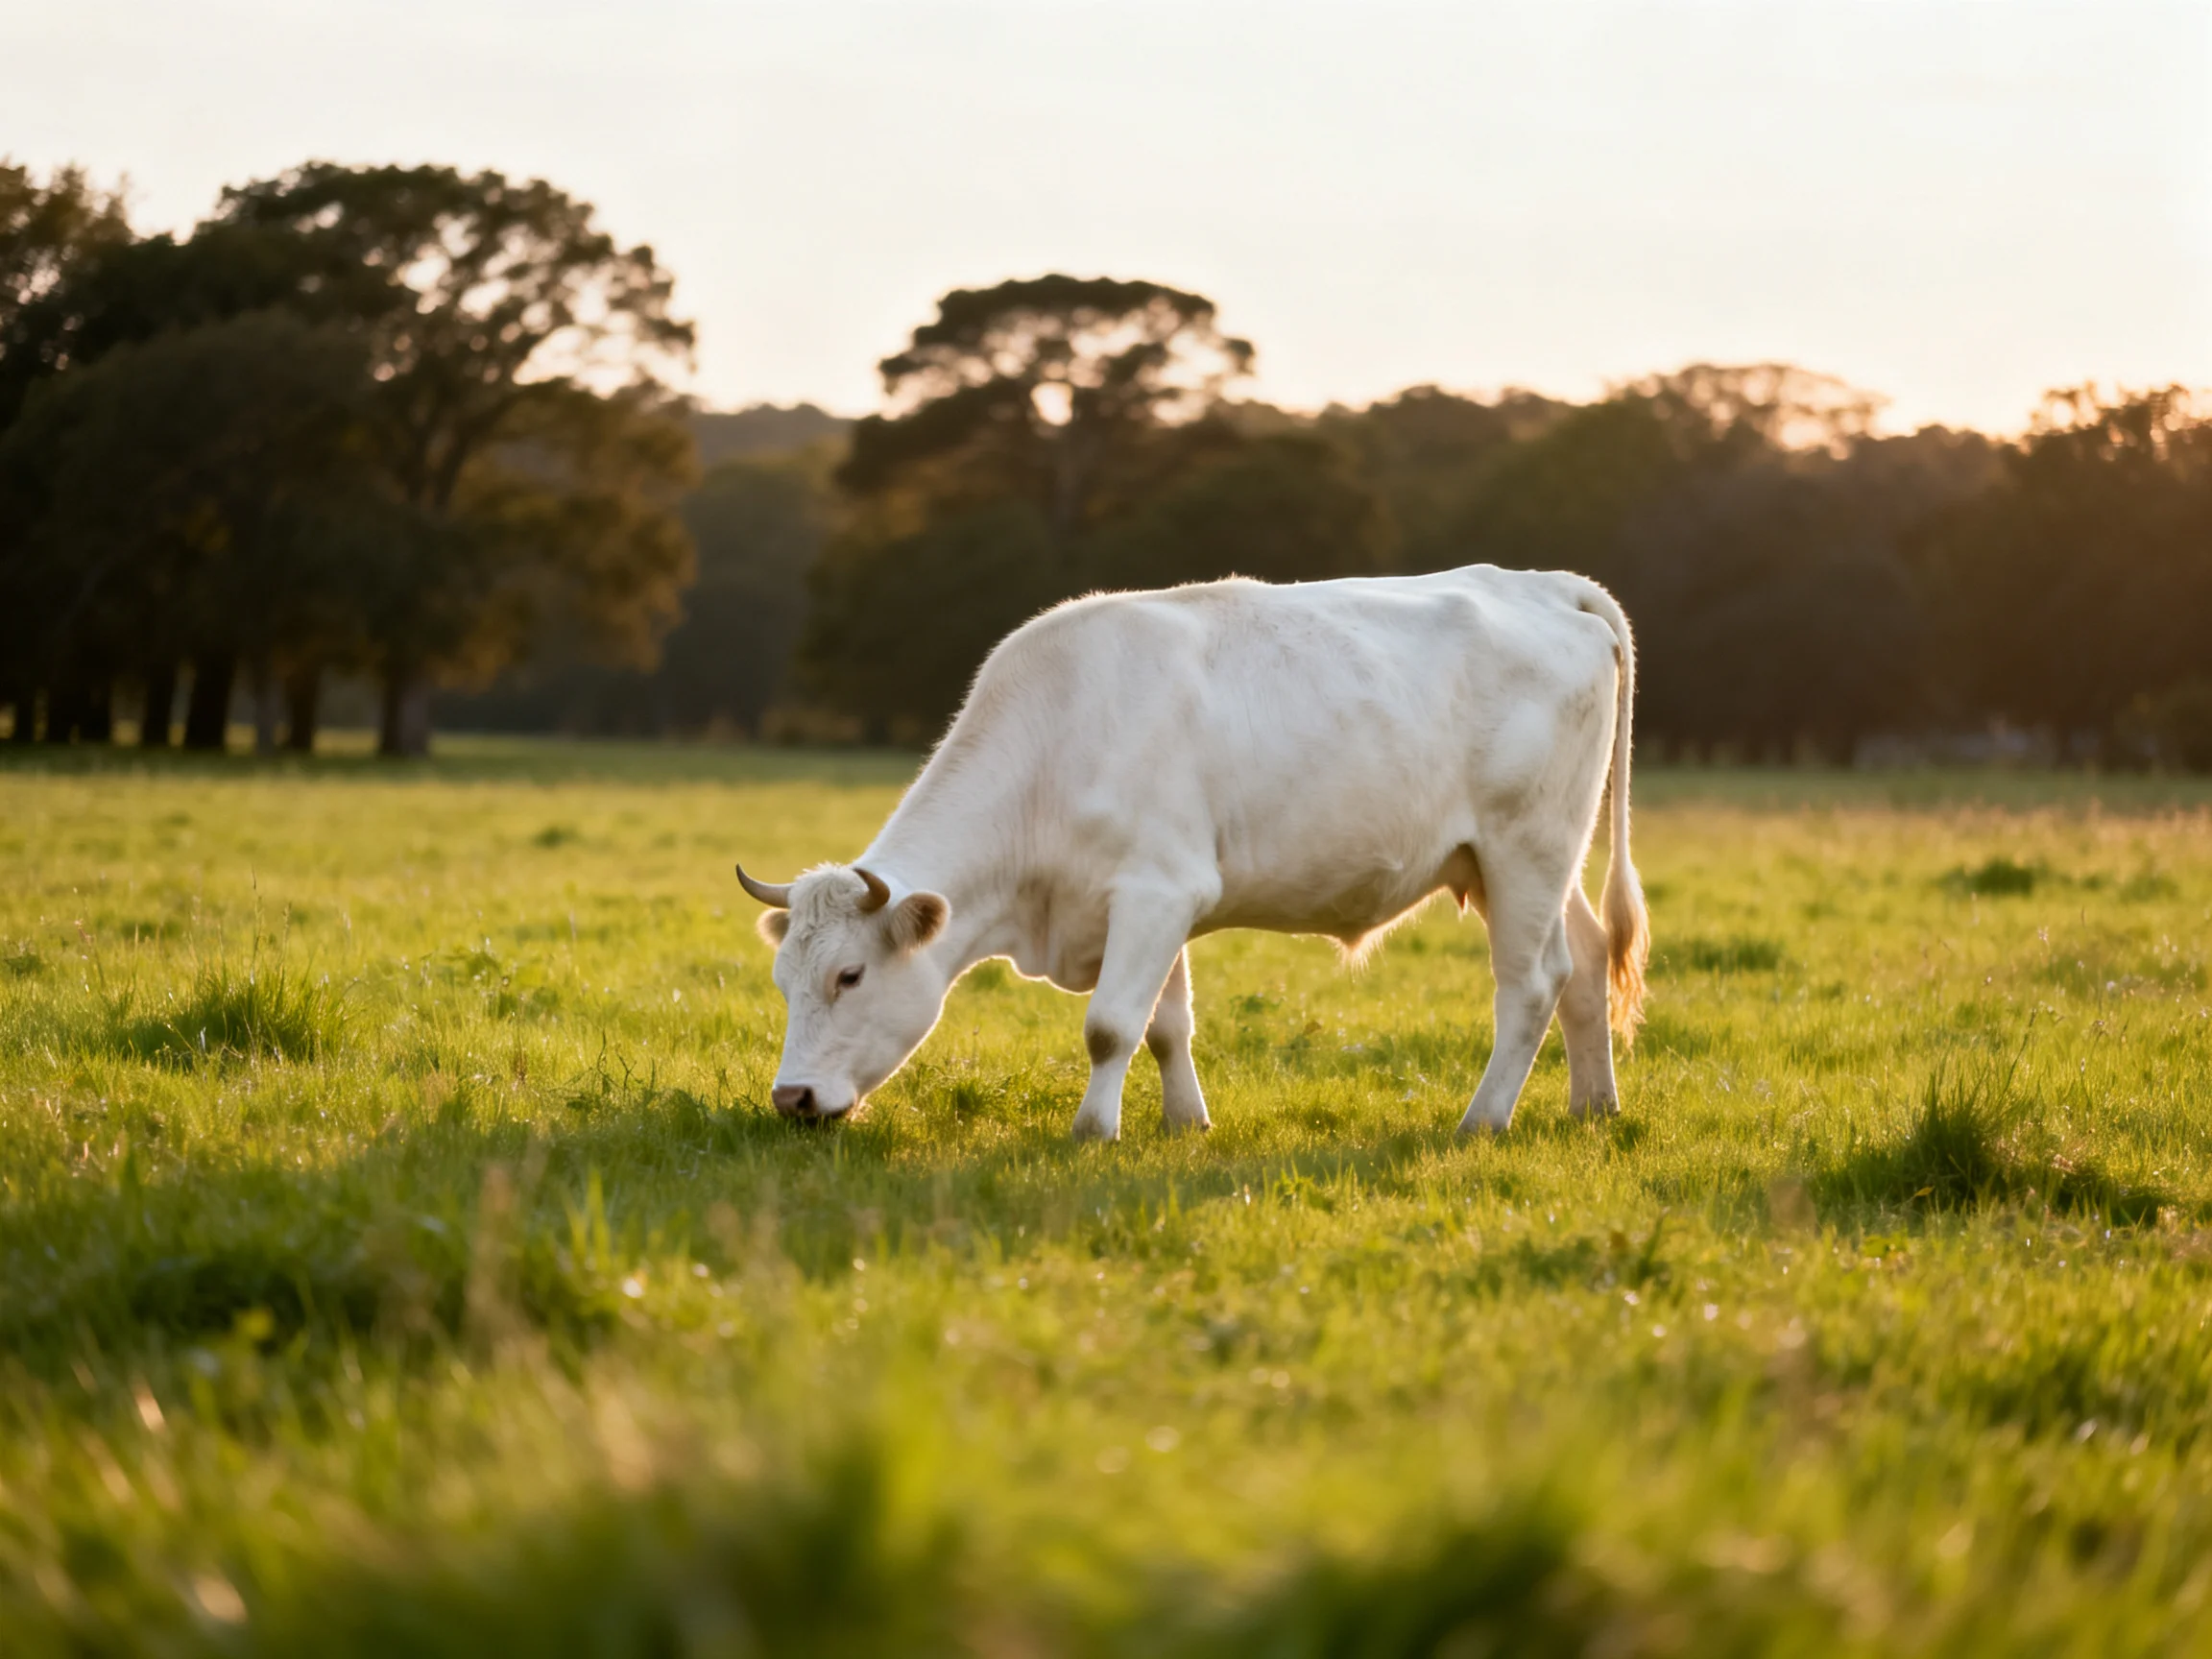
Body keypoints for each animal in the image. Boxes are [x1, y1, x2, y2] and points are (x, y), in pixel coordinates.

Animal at [735, 565, 1649, 1140]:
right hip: (1517, 861)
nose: (791, 1097)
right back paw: (1593, 1108)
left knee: (1530, 985)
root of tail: (1544, 584)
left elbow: (1111, 1026)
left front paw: (1091, 1131)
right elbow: (1166, 1025)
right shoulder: (1161, 900)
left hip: (1526, 848)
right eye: (782, 981)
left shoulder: (1155, 891)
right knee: (1584, 963)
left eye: (849, 976)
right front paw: (1185, 1123)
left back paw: (1481, 1121)